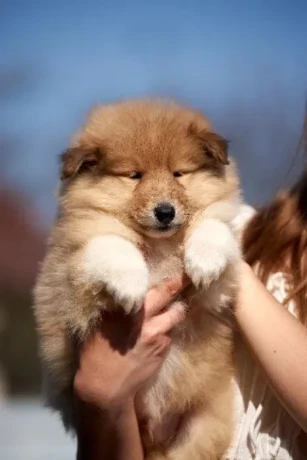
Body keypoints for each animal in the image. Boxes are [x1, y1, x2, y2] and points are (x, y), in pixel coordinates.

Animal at [32, 99, 242, 458]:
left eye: (178, 173)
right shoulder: (68, 269)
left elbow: (214, 226)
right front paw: (132, 285)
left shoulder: (213, 294)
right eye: (134, 175)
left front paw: (204, 260)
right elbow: (108, 242)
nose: (165, 212)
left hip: (201, 430)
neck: (160, 245)